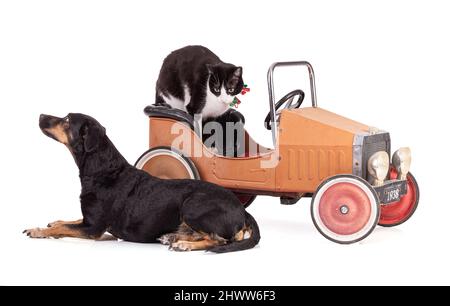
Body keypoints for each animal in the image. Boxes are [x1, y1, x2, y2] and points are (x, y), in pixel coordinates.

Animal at [23, 113, 260, 252]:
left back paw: (182, 243)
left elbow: (63, 228)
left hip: (192, 205)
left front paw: (38, 230)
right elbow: (68, 221)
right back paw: (173, 237)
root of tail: (243, 210)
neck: (102, 170)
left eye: (66, 120)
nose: (41, 115)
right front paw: (54, 221)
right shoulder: (90, 221)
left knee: (222, 240)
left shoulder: (93, 228)